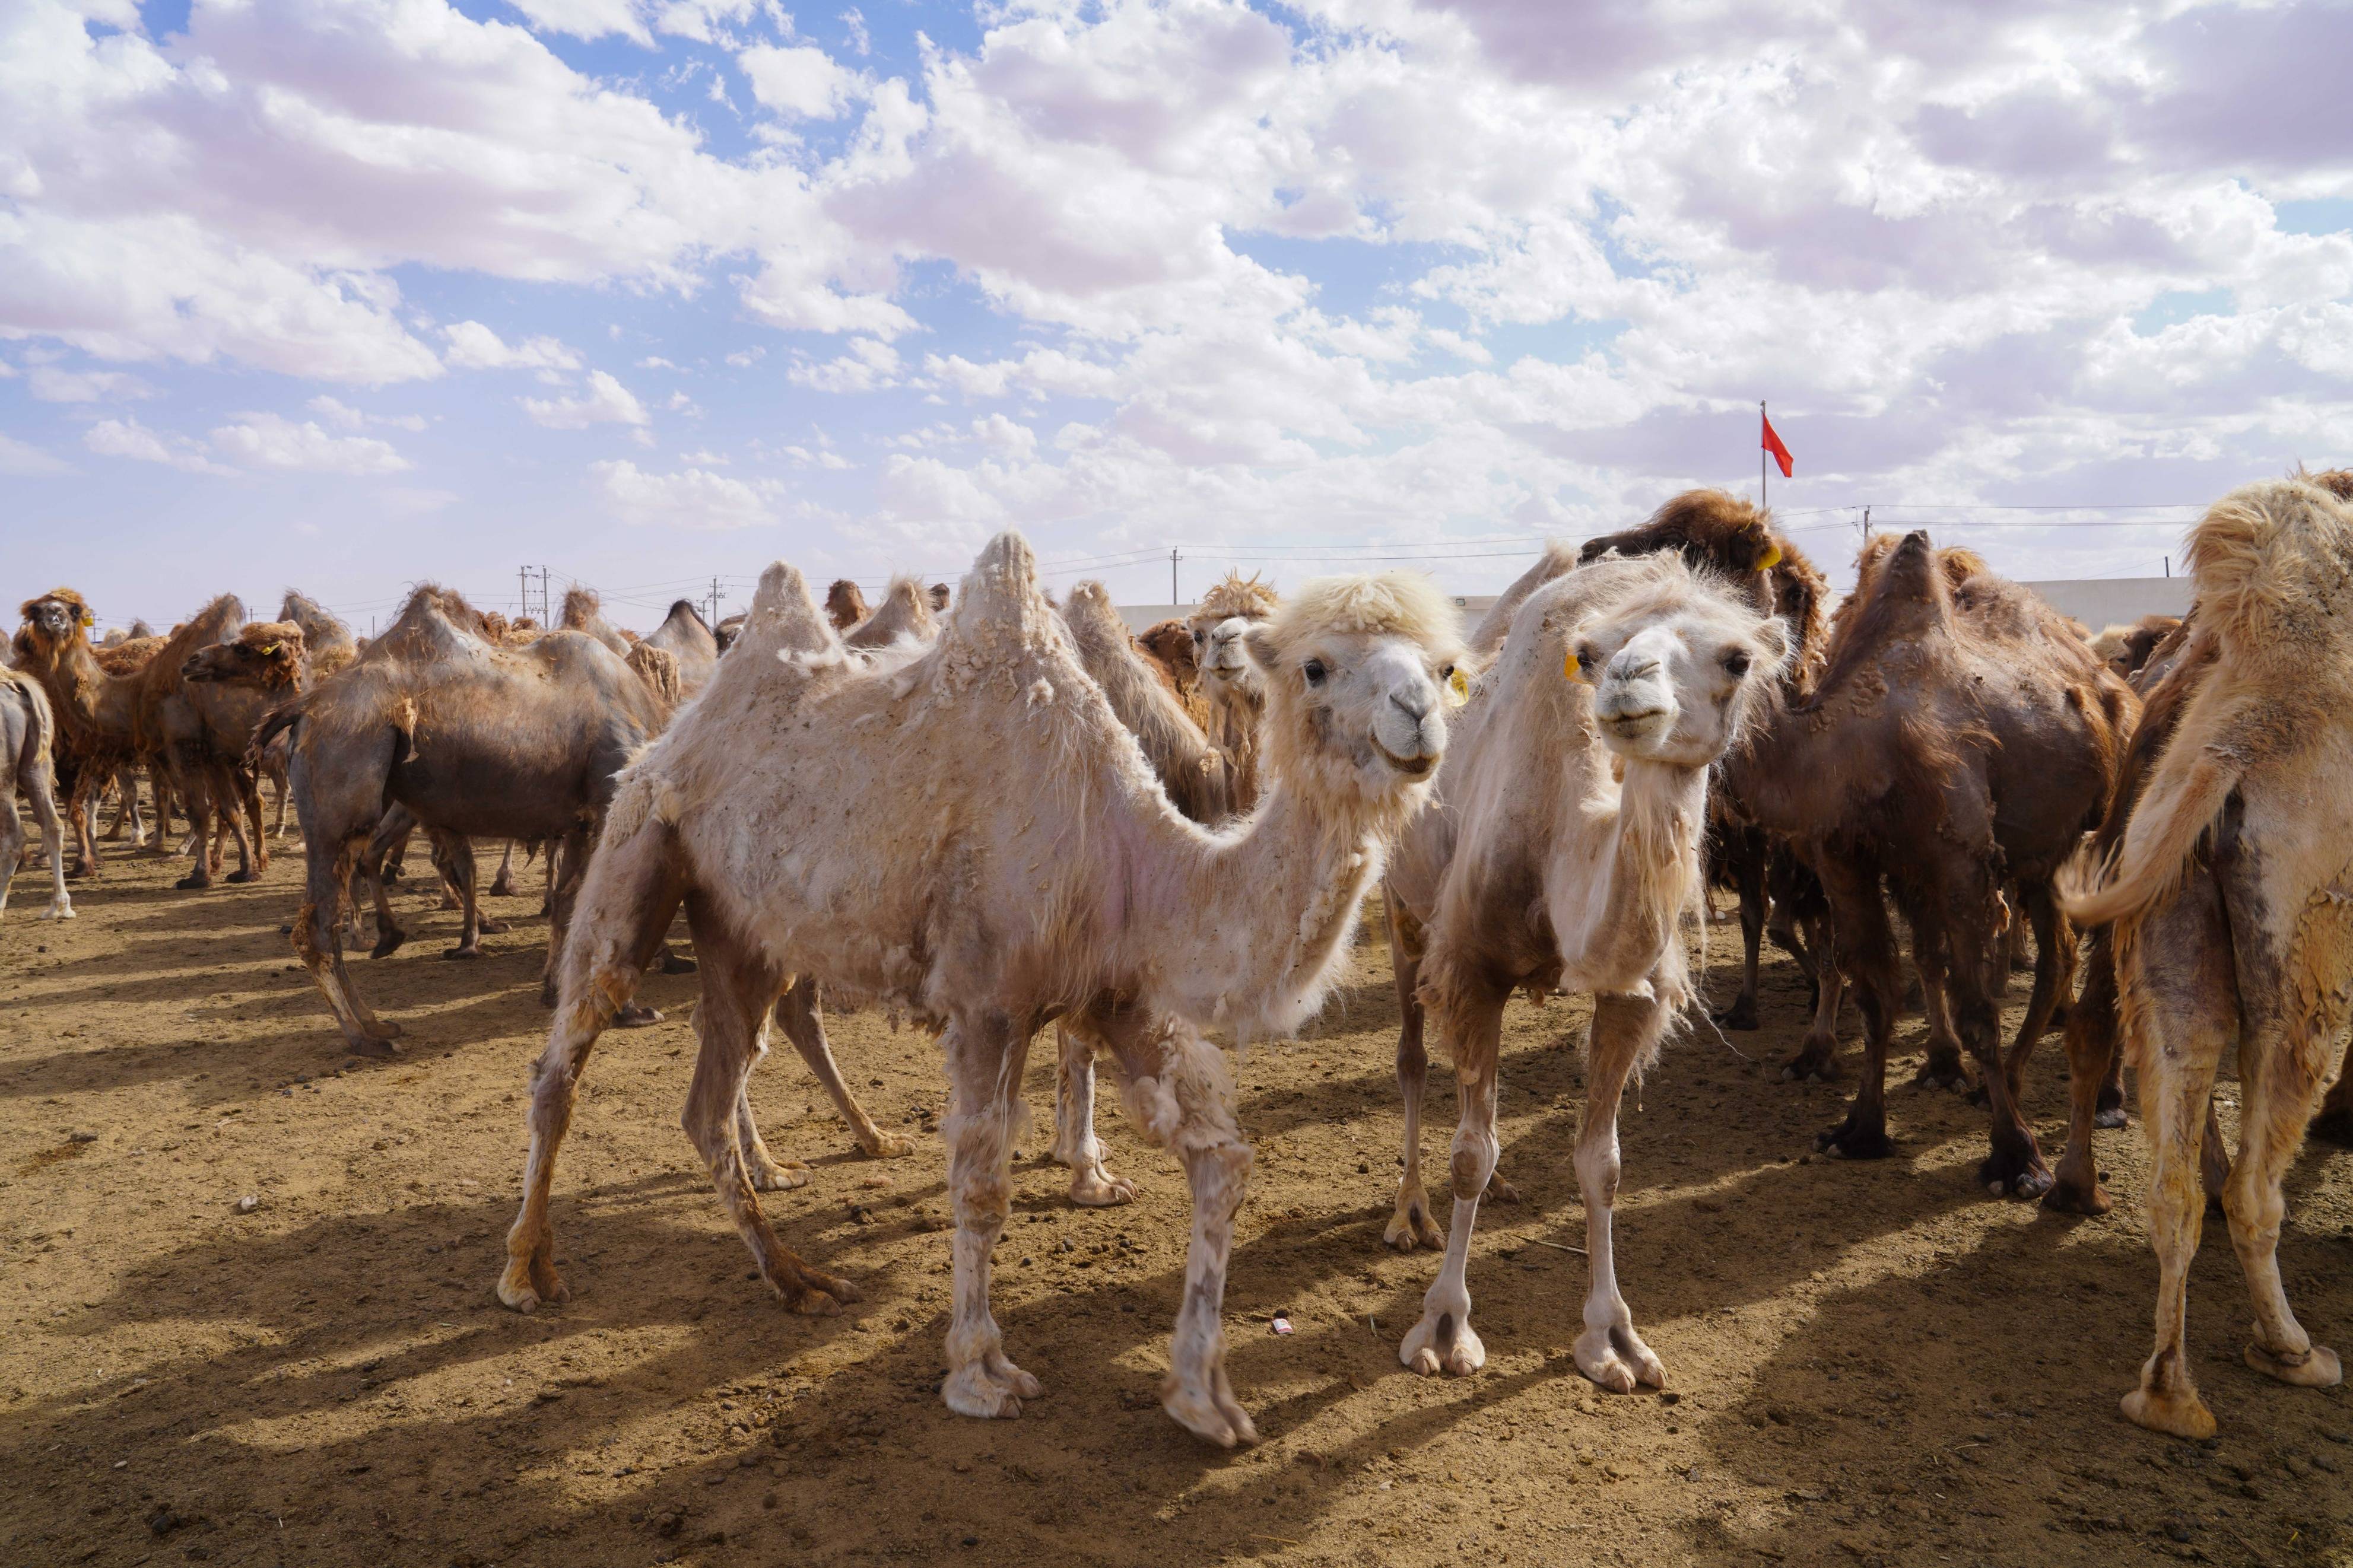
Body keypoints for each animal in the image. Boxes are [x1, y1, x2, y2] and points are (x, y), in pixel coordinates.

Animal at [498, 536, 1459, 1448]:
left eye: (1445, 666)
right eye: (1316, 665)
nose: (1418, 720)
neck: (1128, 845)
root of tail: (670, 738)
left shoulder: (1116, 991)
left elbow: (1221, 1160)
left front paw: (1204, 1398)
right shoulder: (986, 1000)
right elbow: (981, 1186)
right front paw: (978, 1372)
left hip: (741, 927)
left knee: (711, 1090)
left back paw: (795, 1274)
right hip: (638, 847)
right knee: (563, 1061)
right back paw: (526, 1272)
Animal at [1374, 552, 1779, 1382]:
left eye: (1736, 658)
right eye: (1588, 656)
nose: (1628, 679)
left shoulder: (1633, 995)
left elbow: (1603, 1164)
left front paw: (1614, 1339)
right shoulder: (1472, 968)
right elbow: (1469, 1153)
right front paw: (1442, 1328)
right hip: (1403, 910)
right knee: (1411, 1059)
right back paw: (1410, 1214)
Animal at [1732, 533, 2136, 1194]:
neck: (1847, 744)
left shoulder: (1960, 860)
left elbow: (1976, 1012)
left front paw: (2015, 1159)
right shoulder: (1843, 861)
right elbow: (1874, 996)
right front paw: (1859, 1130)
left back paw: (2103, 1097)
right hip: (2043, 855)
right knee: (2059, 954)